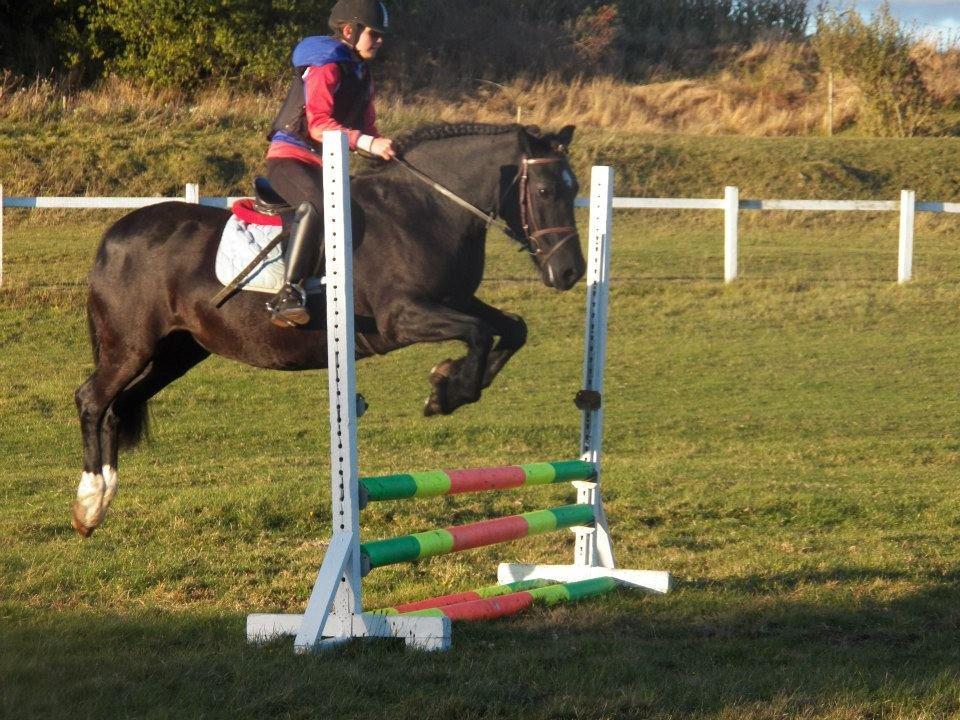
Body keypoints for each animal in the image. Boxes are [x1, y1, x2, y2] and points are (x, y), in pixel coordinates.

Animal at [72, 122, 586, 537]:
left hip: (177, 352)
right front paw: (447, 390)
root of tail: (115, 233)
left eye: (575, 189)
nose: (570, 272)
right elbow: (479, 334)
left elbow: (512, 329)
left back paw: (104, 498)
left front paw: (448, 384)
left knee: (121, 406)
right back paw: (89, 502)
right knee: (93, 399)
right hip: (132, 347)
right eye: (544, 191)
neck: (427, 210)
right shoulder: (403, 318)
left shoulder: (455, 301)